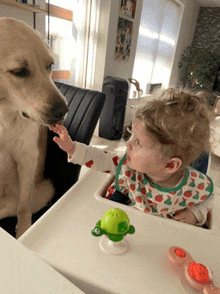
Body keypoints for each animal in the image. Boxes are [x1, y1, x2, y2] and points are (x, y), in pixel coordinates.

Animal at [0, 17, 68, 239]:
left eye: (50, 65)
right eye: (19, 71)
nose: (64, 111)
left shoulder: (28, 158)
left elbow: (23, 208)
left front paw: (23, 232)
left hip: (46, 189)